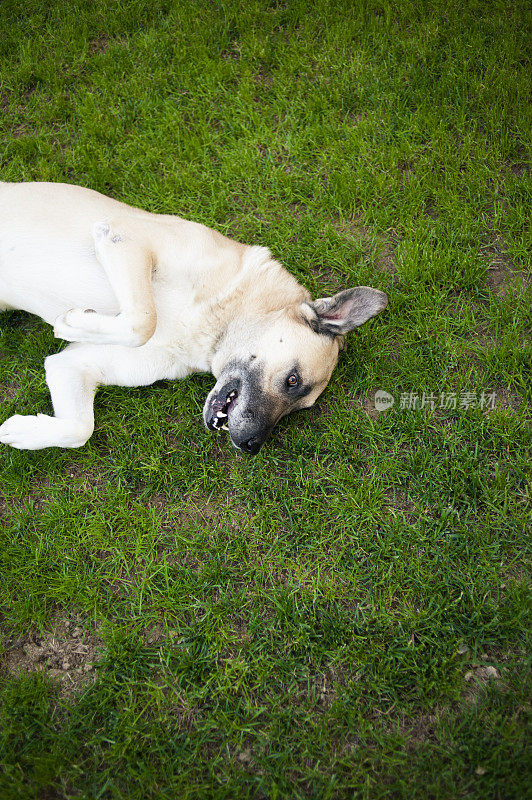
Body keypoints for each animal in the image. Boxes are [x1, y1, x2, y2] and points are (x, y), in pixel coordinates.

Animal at [0, 184, 386, 454]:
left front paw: (21, 431)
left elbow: (80, 428)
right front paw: (73, 321)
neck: (215, 325)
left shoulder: (71, 364)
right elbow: (142, 321)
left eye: (298, 409)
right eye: (293, 381)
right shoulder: (123, 235)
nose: (251, 446)